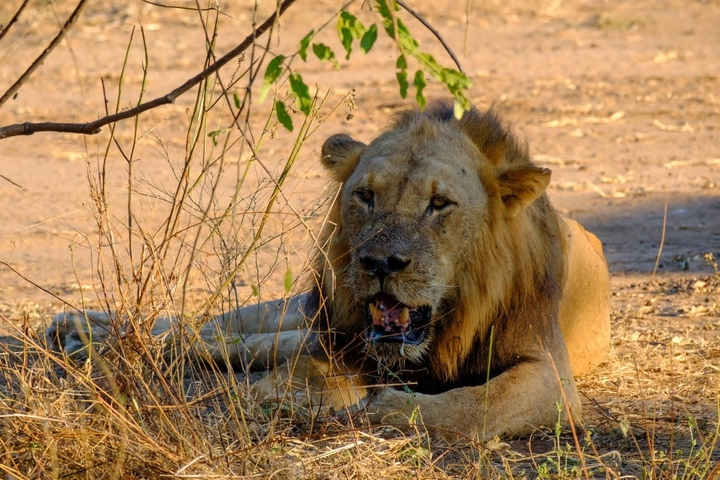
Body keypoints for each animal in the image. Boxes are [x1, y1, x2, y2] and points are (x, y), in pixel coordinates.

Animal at [47, 100, 610, 441]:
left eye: (439, 204)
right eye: (366, 196)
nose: (380, 263)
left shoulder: (551, 374)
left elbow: (472, 408)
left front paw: (375, 408)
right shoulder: (343, 344)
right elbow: (311, 374)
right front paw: (289, 396)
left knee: (241, 345)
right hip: (305, 314)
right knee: (214, 332)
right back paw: (83, 332)